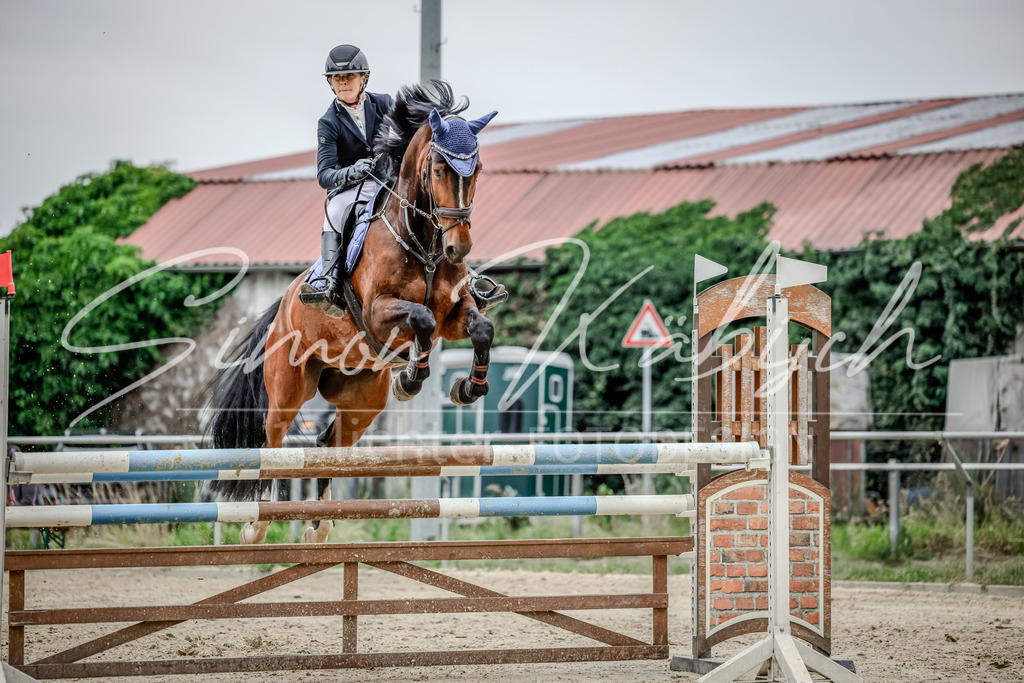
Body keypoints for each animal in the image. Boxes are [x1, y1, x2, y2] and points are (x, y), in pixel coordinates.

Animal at [206, 82, 499, 544]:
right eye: (438, 170)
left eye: (477, 169)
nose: (459, 248)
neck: (422, 241)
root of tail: (283, 305)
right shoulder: (380, 313)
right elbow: (421, 319)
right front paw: (411, 379)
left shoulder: (455, 314)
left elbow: (481, 328)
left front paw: (468, 389)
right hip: (288, 388)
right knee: (273, 445)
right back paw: (258, 526)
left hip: (361, 399)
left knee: (330, 446)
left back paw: (320, 527)